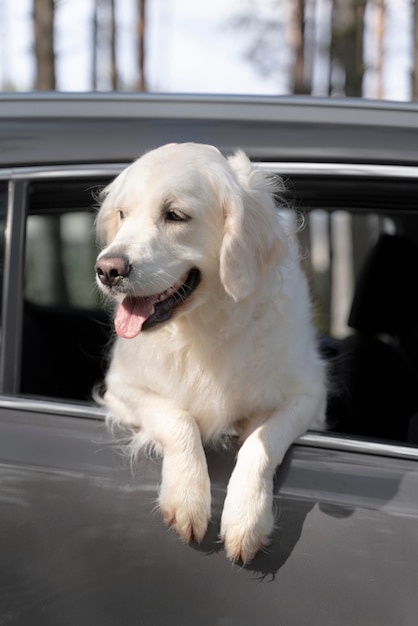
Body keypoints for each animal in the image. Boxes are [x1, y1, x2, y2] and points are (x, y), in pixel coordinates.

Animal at [95, 143, 326, 560]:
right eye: (122, 213)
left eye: (175, 215)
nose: (107, 269)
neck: (202, 328)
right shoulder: (120, 387)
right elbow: (178, 418)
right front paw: (187, 497)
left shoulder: (309, 393)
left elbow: (261, 442)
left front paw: (246, 517)